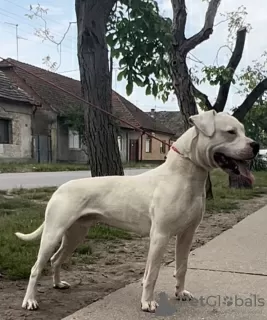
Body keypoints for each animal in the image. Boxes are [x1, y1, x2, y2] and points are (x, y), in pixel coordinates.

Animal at [14, 110, 260, 312]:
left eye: (243, 131)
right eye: (230, 132)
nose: (256, 145)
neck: (184, 176)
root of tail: (59, 188)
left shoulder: (187, 234)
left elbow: (181, 266)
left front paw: (180, 293)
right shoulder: (160, 235)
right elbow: (152, 273)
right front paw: (148, 303)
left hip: (75, 233)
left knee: (56, 259)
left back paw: (57, 284)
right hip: (53, 232)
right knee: (36, 267)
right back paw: (30, 301)